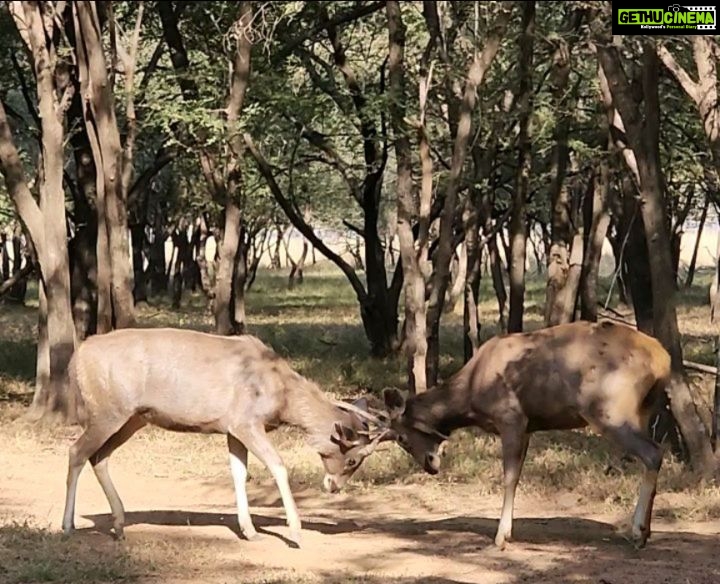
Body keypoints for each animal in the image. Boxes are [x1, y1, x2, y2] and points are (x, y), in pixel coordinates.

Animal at [61, 328, 388, 548]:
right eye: (354, 459)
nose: (334, 486)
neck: (281, 393)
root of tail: (76, 359)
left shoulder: (231, 428)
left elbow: (239, 473)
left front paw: (250, 531)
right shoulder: (246, 422)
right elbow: (277, 465)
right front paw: (295, 532)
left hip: (133, 418)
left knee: (98, 456)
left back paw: (118, 526)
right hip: (108, 412)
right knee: (76, 452)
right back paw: (68, 525)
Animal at [382, 322, 668, 548]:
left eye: (402, 439)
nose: (429, 466)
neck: (470, 395)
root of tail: (662, 360)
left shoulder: (511, 417)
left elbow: (509, 477)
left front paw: (502, 536)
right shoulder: (528, 427)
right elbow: (518, 475)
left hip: (609, 409)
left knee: (653, 453)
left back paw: (638, 531)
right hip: (643, 410)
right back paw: (644, 531)